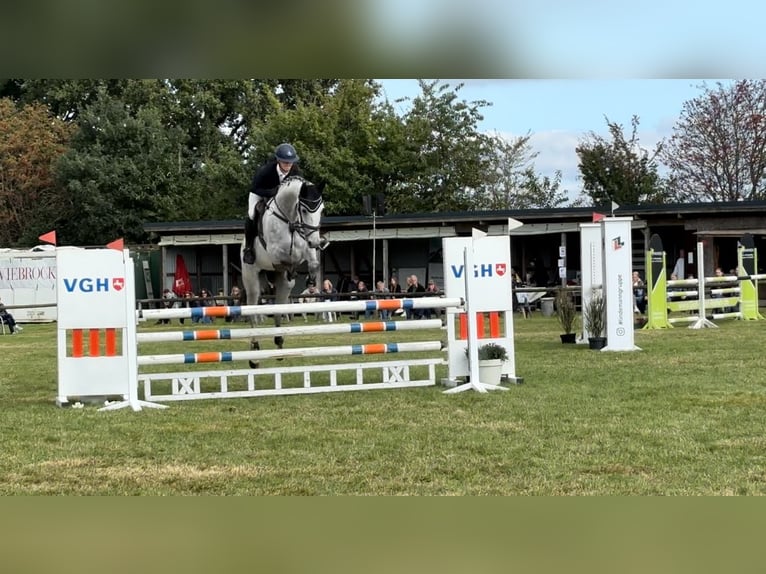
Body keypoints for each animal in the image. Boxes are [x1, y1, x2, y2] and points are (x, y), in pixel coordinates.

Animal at [238, 174, 326, 368]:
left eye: (321, 210)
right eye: (305, 211)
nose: (316, 242)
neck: (290, 219)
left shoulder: (305, 246)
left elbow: (313, 262)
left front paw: (311, 278)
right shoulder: (275, 253)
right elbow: (286, 260)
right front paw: (294, 271)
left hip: (283, 289)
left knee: (279, 306)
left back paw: (279, 344)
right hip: (252, 278)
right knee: (252, 311)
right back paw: (254, 355)